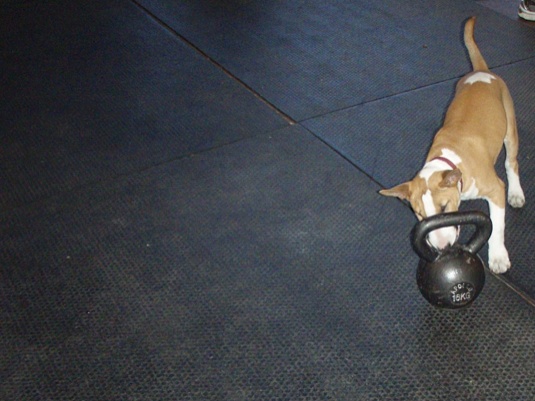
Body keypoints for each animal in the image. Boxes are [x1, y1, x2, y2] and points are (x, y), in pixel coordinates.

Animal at [382, 15, 528, 272]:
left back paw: (516, 193)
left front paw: (498, 257)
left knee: (511, 163)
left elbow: (497, 227)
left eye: (444, 208)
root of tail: (481, 71)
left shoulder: (495, 189)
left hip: (510, 129)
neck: (448, 160)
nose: (443, 248)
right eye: (420, 215)